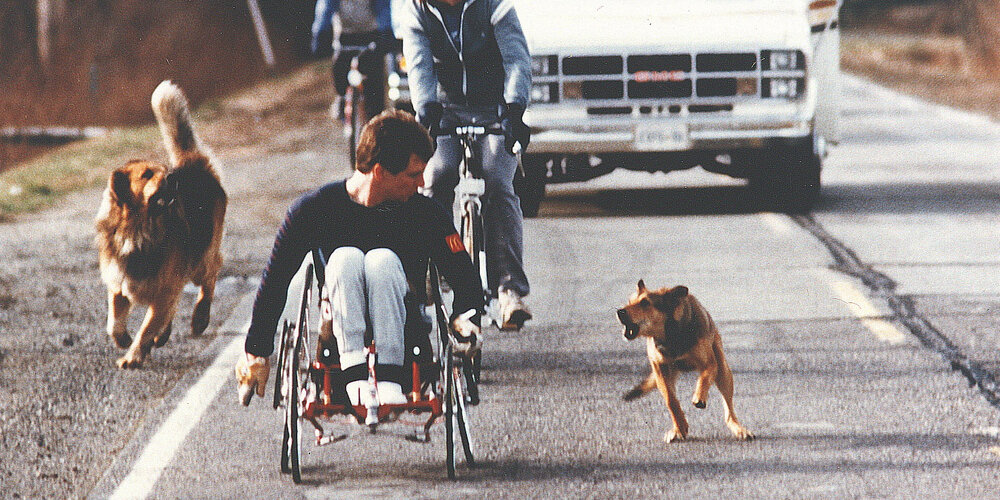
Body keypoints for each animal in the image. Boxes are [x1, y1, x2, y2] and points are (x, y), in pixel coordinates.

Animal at [94, 79, 226, 368]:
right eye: (146, 174)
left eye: (163, 170)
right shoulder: (119, 285)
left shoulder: (163, 291)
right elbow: (113, 322)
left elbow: (146, 327)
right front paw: (124, 340)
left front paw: (133, 356)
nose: (172, 177)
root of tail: (194, 163)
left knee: (212, 274)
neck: (137, 229)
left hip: (199, 260)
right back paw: (164, 334)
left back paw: (200, 318)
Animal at [616, 280, 752, 444]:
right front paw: (680, 427)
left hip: (723, 371)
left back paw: (740, 429)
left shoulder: (710, 364)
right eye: (630, 301)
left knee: (729, 409)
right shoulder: (661, 370)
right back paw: (676, 430)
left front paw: (699, 396)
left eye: (645, 303)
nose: (620, 311)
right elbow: (671, 401)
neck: (671, 335)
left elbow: (704, 378)